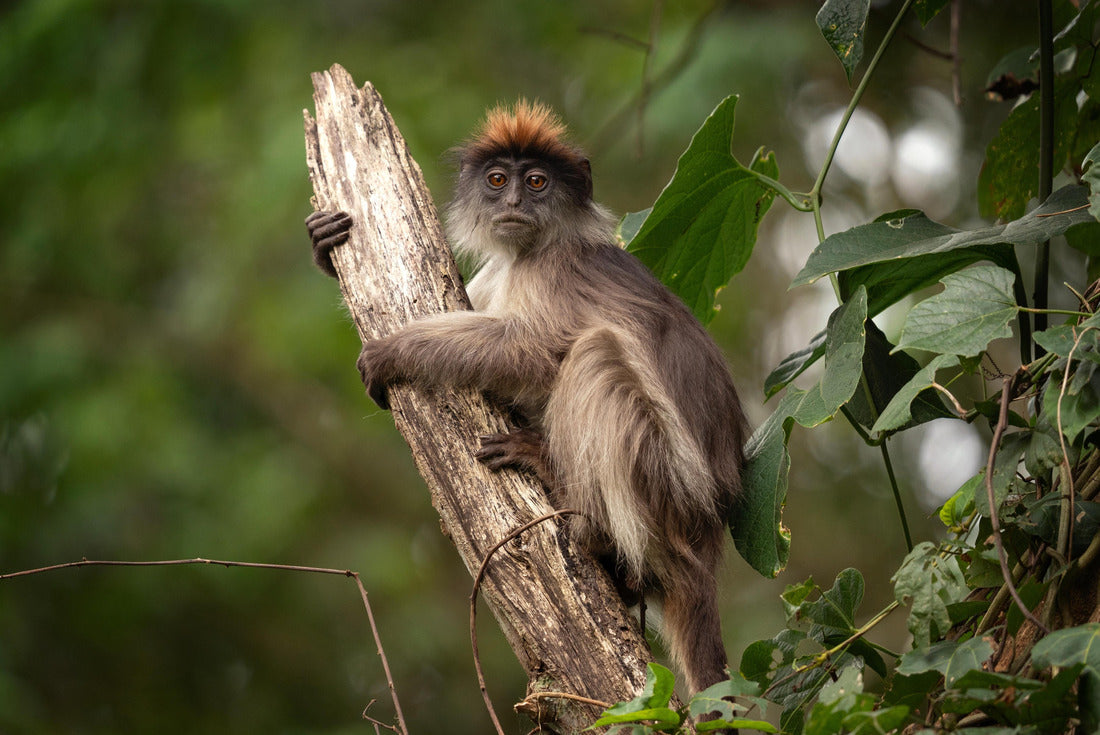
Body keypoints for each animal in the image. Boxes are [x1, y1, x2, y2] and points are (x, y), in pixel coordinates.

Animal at [306, 101, 746, 699]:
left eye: (536, 182)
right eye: (498, 181)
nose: (514, 203)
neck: (531, 249)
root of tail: (705, 542)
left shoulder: (553, 268)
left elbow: (531, 352)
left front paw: (394, 350)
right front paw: (323, 248)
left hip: (668, 488)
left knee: (596, 352)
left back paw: (579, 507)